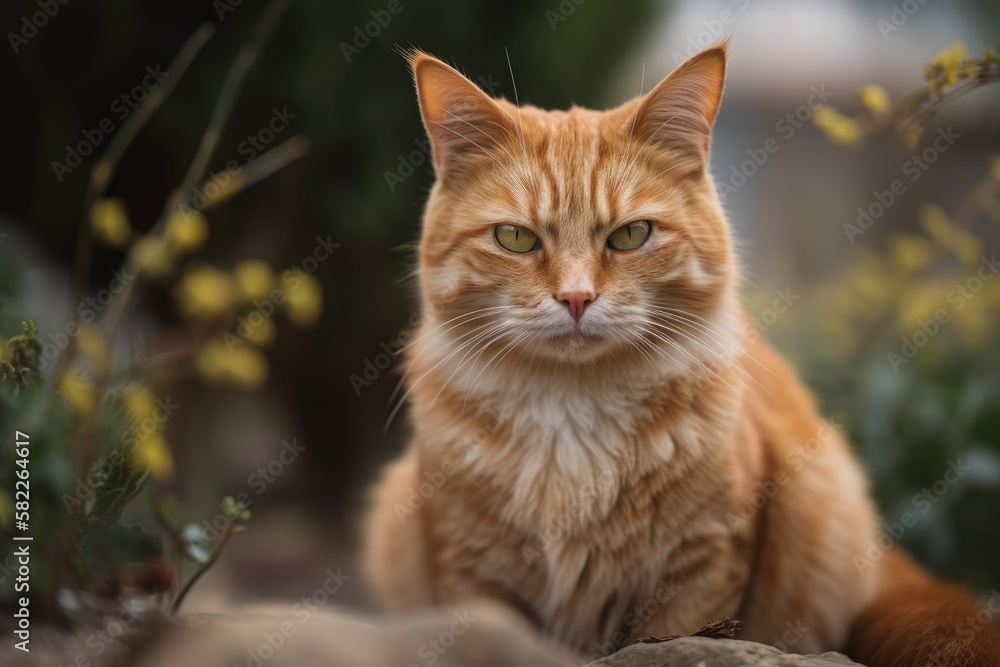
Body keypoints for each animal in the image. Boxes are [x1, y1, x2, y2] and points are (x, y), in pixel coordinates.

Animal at [364, 44, 1000, 664]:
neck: (572, 418)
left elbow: (681, 637)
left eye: (631, 235)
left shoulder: (702, 571)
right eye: (515, 238)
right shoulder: (469, 569)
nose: (576, 298)